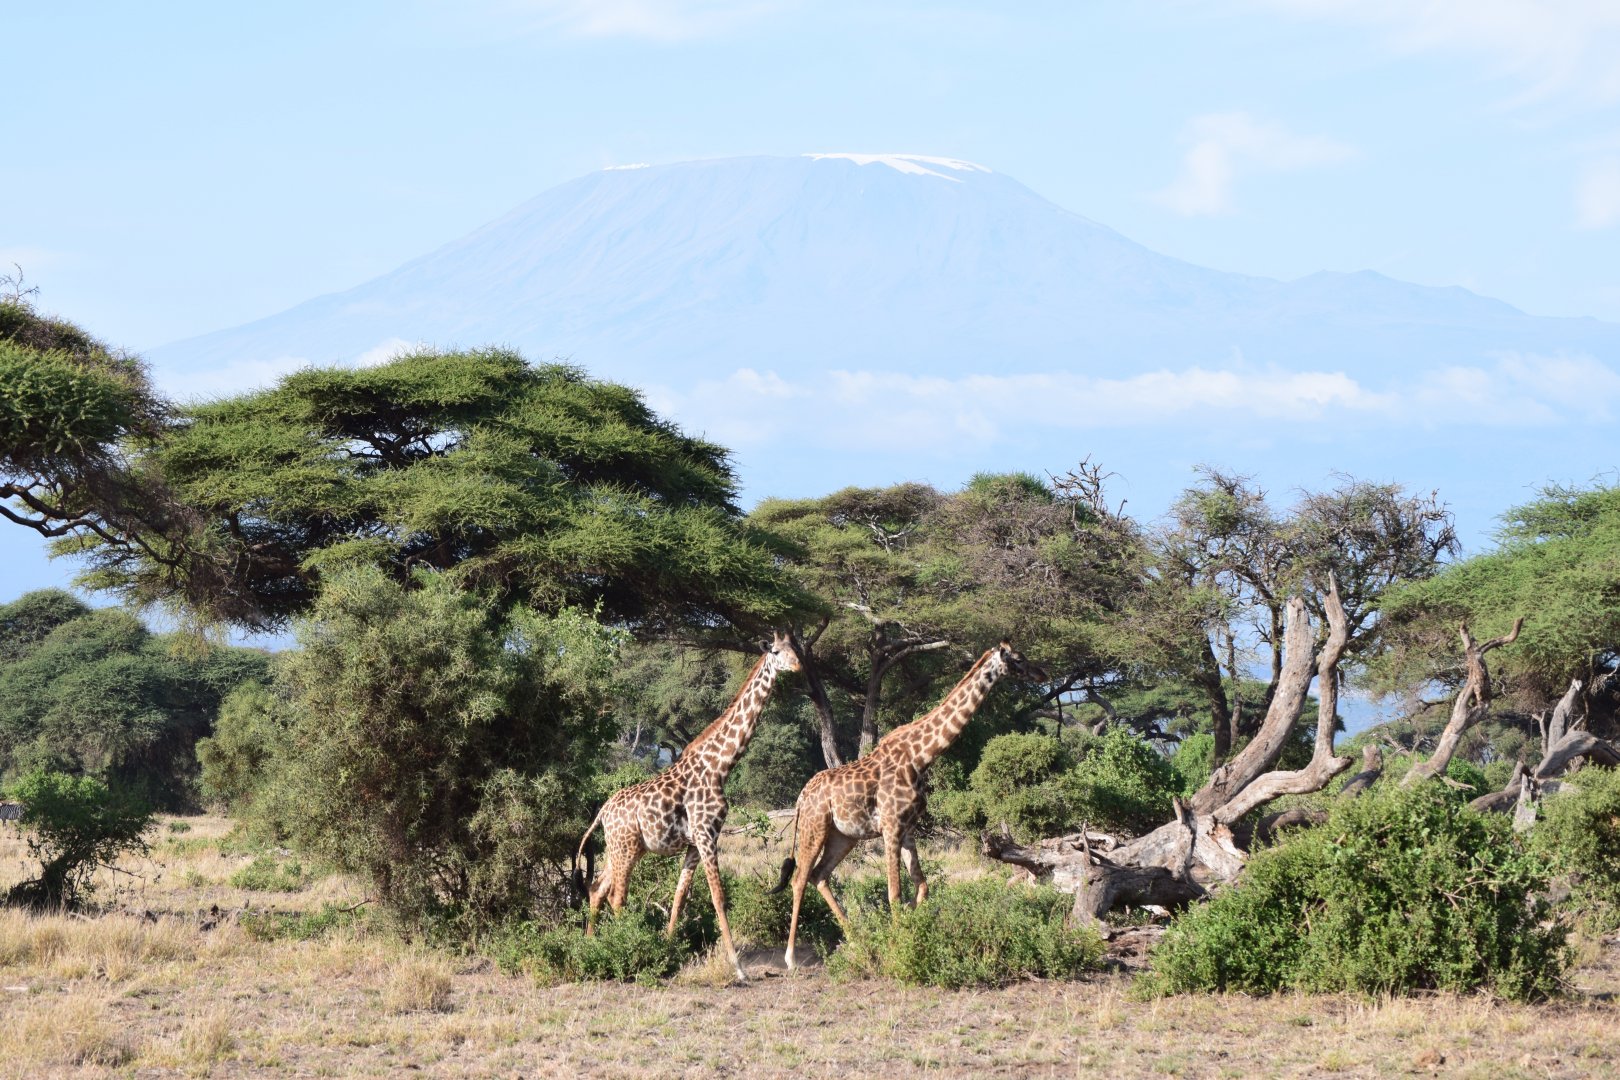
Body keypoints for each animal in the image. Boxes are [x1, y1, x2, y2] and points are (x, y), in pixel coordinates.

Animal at [574, 631, 802, 981]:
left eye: (796, 648)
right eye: (777, 652)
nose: (799, 666)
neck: (721, 765)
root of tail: (602, 811)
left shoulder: (695, 842)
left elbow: (680, 896)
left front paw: (669, 950)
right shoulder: (707, 835)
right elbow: (719, 896)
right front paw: (738, 968)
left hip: (621, 847)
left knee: (598, 888)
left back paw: (592, 946)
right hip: (627, 847)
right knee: (617, 896)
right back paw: (626, 946)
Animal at [773, 640, 1034, 971]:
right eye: (1019, 659)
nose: (1042, 673)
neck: (921, 756)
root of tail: (801, 797)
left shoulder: (907, 828)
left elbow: (921, 885)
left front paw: (909, 924)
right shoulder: (891, 826)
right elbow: (894, 892)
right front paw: (898, 947)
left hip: (843, 836)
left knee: (820, 875)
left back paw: (856, 939)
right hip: (814, 827)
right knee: (799, 880)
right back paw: (791, 957)